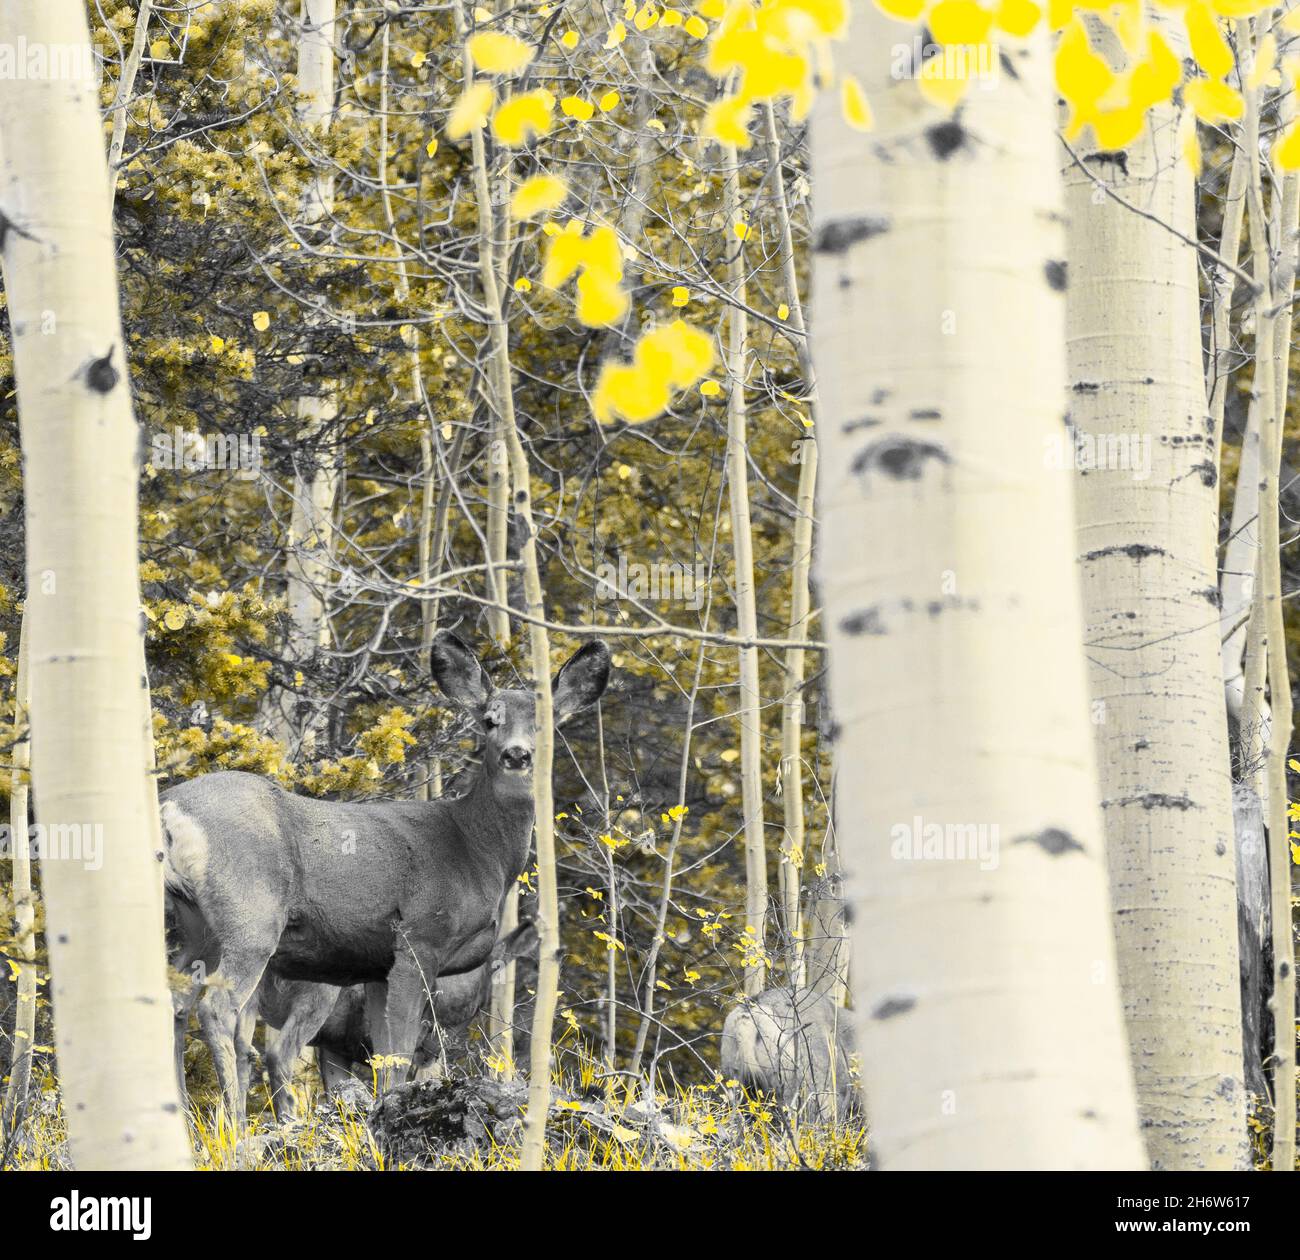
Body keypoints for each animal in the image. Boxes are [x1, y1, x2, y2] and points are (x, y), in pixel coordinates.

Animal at [161, 629, 610, 1128]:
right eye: (490, 721)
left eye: (547, 726)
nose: (518, 754)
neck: (475, 849)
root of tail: (171, 808)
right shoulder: (419, 938)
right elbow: (399, 1050)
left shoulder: (376, 964)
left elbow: (383, 1054)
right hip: (251, 914)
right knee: (219, 1009)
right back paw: (236, 1126)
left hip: (197, 922)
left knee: (175, 999)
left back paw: (182, 1116)